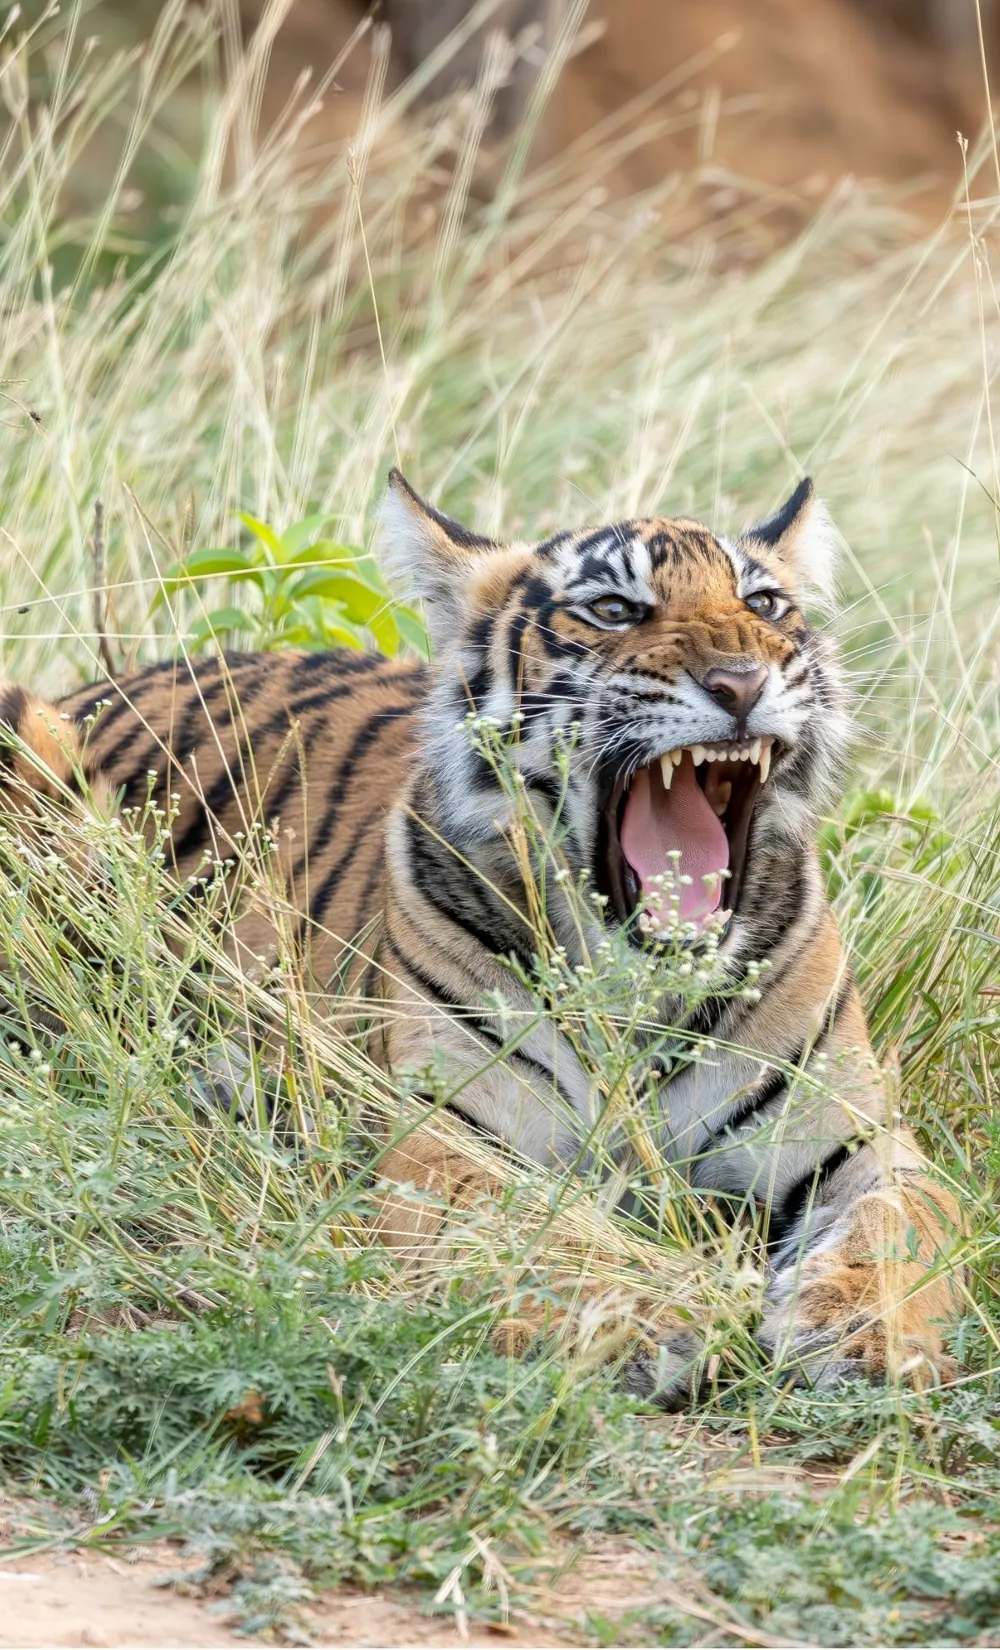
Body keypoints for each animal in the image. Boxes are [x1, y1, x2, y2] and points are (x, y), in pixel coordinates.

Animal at [0, 470, 963, 1404]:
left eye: (764, 604)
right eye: (612, 608)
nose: (740, 682)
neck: (633, 992)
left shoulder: (865, 1142)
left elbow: (902, 1232)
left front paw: (864, 1335)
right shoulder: (447, 1140)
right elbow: (538, 1232)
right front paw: (648, 1315)